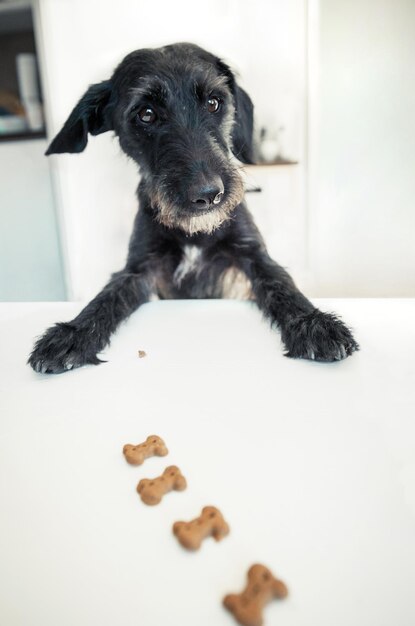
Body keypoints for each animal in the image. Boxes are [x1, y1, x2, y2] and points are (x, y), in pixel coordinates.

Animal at [28, 45, 360, 376]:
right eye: (146, 114)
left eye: (214, 103)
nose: (209, 194)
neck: (194, 233)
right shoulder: (141, 268)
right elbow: (106, 297)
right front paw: (73, 333)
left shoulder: (252, 256)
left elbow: (282, 285)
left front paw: (314, 324)